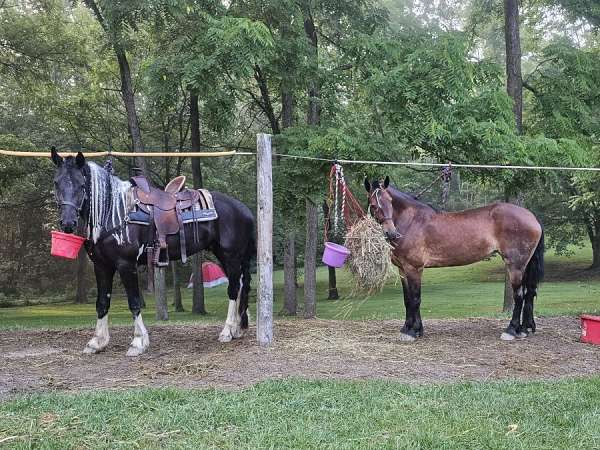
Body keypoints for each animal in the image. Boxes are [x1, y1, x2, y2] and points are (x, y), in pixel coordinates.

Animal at [51, 149, 255, 356]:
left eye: (81, 185)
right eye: (56, 182)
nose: (67, 223)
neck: (114, 212)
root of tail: (244, 209)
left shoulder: (126, 265)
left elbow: (134, 302)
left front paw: (138, 342)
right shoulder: (101, 266)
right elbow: (102, 303)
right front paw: (97, 342)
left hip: (231, 256)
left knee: (233, 289)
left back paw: (227, 331)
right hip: (224, 256)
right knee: (238, 285)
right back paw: (237, 328)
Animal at [366, 176, 544, 342]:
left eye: (390, 202)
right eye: (374, 205)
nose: (391, 233)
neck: (412, 221)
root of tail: (532, 217)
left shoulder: (414, 268)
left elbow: (415, 299)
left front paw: (412, 331)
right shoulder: (402, 269)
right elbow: (407, 300)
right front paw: (409, 329)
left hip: (515, 266)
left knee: (519, 295)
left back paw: (511, 330)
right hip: (524, 265)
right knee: (528, 293)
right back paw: (524, 329)